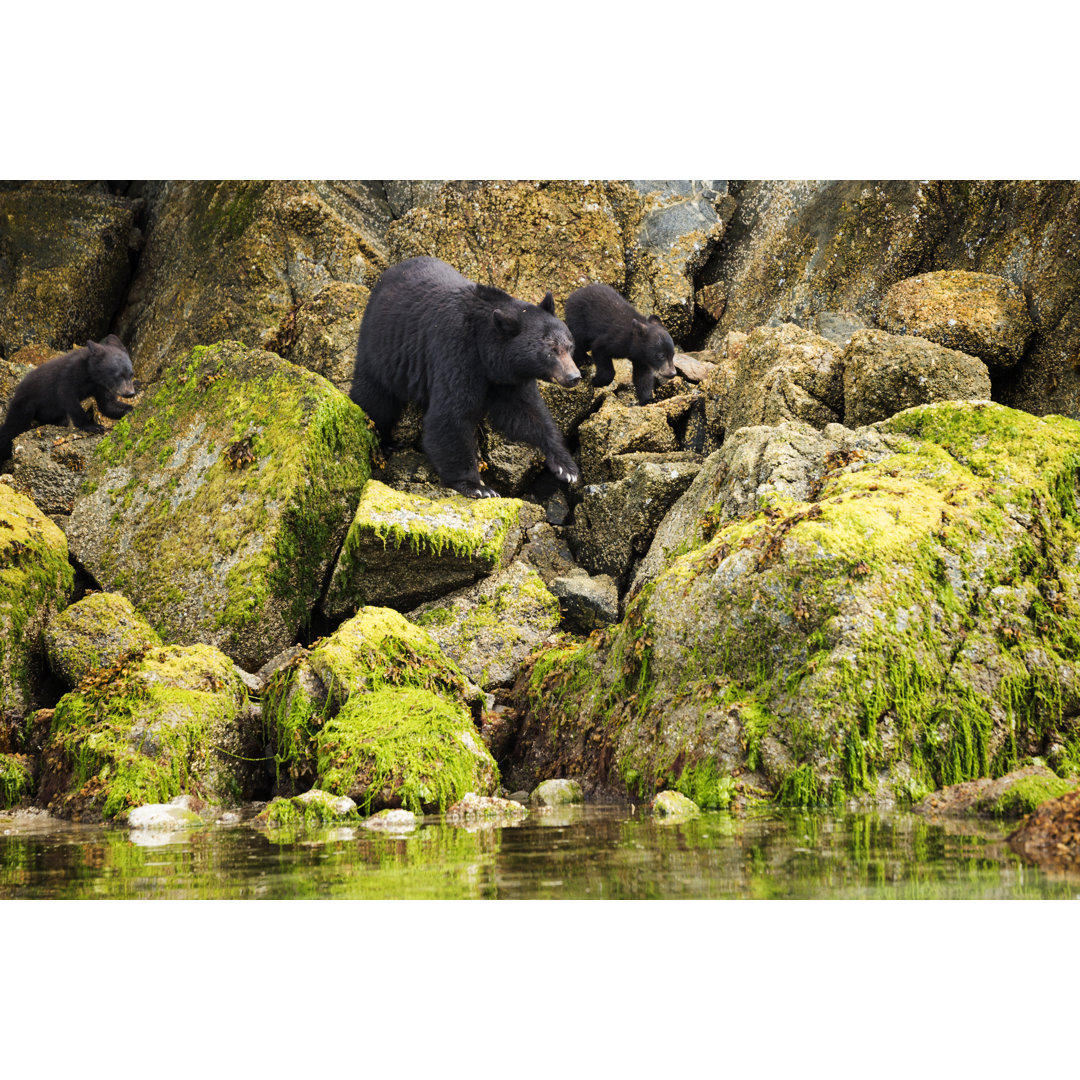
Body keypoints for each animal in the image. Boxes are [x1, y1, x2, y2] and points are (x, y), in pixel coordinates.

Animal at [0, 336, 138, 464]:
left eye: (131, 374)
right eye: (119, 376)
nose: (130, 393)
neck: (92, 376)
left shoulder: (101, 387)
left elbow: (107, 405)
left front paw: (130, 409)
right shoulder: (69, 375)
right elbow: (68, 398)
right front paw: (93, 426)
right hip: (25, 405)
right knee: (12, 428)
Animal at [349, 257, 583, 496]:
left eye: (569, 345)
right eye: (551, 350)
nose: (574, 376)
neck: (483, 345)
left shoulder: (507, 378)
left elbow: (527, 412)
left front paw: (565, 466)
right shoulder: (457, 350)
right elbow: (451, 414)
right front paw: (476, 486)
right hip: (381, 347)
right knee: (375, 398)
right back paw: (382, 439)